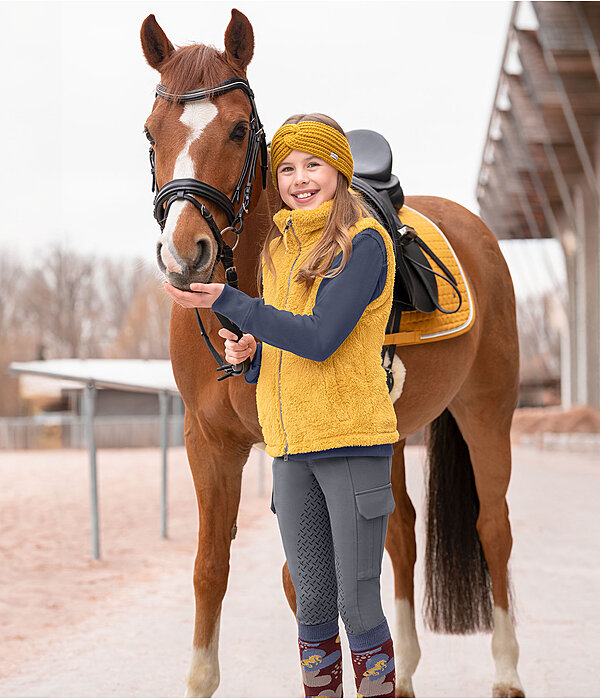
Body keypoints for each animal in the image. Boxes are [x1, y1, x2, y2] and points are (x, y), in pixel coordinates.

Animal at [141, 8, 524, 696]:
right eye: (152, 131)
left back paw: (506, 671)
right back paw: (406, 671)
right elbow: (210, 569)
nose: (186, 254)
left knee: (493, 527)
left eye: (237, 128)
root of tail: (476, 230)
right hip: (387, 436)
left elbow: (304, 582)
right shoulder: (208, 443)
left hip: (487, 411)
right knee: (400, 532)